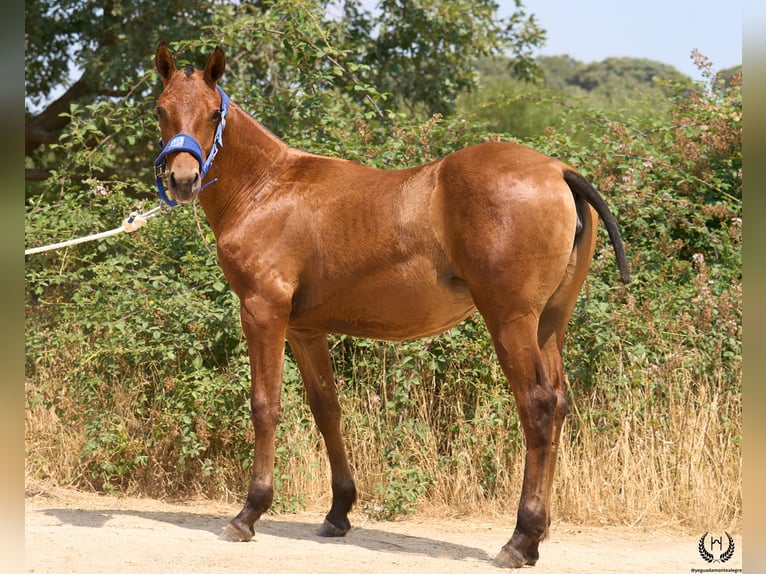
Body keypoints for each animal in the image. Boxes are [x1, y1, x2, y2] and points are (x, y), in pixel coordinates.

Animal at [153, 42, 630, 568]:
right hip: (549, 324)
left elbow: (265, 405)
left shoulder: (263, 312)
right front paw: (339, 511)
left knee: (539, 406)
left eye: (214, 113)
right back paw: (535, 539)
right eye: (161, 109)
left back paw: (520, 539)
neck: (267, 188)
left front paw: (248, 513)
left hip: (511, 321)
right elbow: (327, 408)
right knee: (559, 403)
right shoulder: (304, 329)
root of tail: (557, 171)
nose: (182, 178)